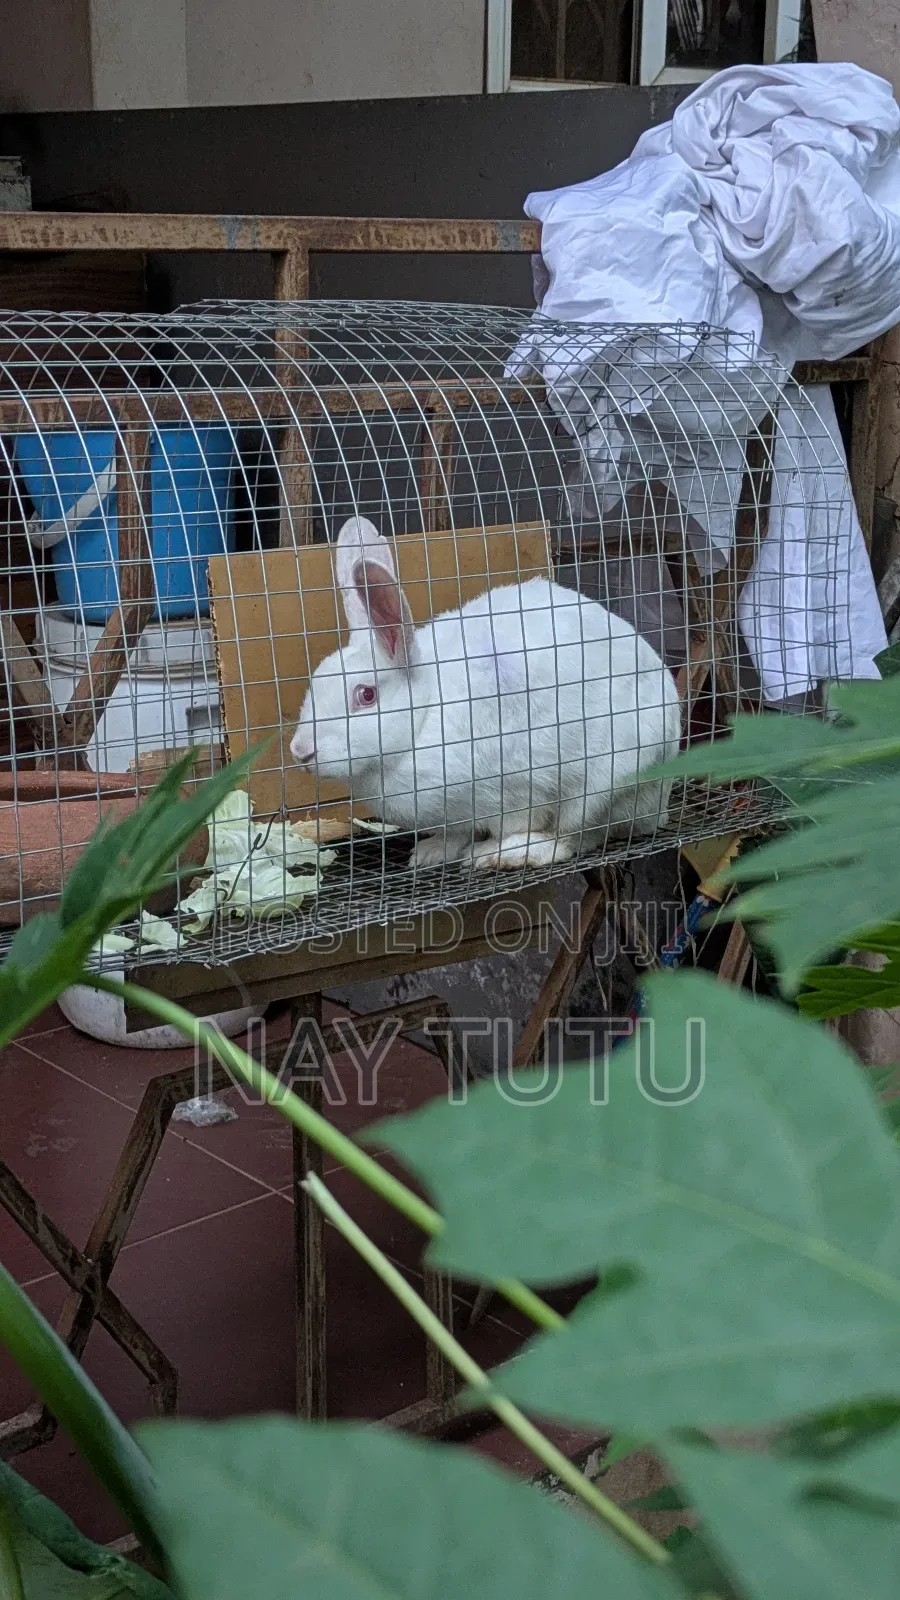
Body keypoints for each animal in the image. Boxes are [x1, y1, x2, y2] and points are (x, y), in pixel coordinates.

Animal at [290, 516, 682, 872]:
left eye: (366, 695)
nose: (300, 751)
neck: (425, 717)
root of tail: (660, 809)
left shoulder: (516, 795)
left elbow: (517, 823)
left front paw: (484, 850)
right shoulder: (457, 814)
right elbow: (457, 833)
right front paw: (431, 853)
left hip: (607, 783)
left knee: (577, 836)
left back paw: (507, 854)